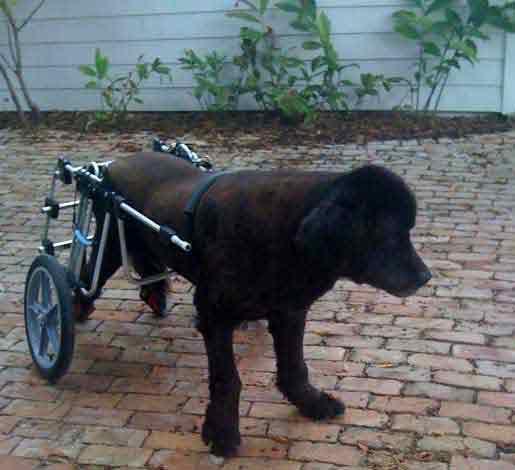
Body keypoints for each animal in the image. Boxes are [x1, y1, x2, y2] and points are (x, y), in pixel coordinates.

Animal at [77, 153, 432, 456]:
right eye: (391, 235)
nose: (425, 277)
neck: (287, 234)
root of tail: (115, 163)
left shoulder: (289, 311)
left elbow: (294, 367)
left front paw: (311, 403)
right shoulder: (213, 314)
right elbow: (227, 379)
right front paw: (222, 433)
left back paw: (153, 296)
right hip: (110, 244)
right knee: (84, 279)